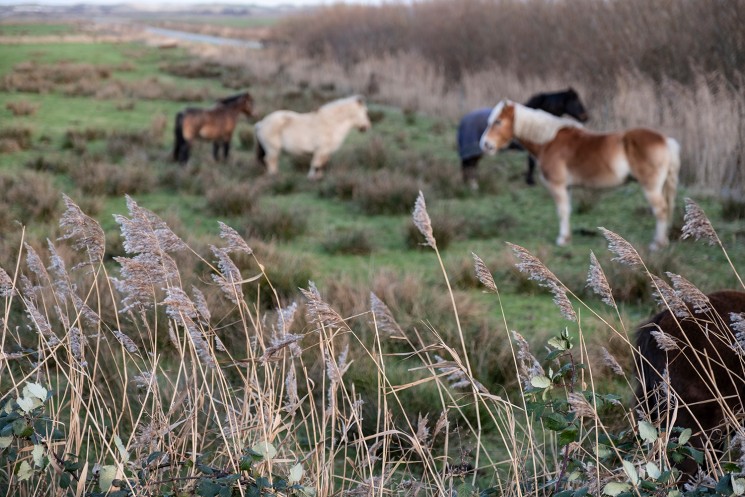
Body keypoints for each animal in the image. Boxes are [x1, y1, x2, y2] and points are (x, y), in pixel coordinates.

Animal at [456, 86, 588, 189]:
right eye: (576, 101)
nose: (586, 117)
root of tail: (463, 121)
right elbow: (531, 163)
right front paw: (530, 181)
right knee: (470, 167)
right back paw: (473, 186)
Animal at [476, 99, 680, 250]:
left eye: (498, 122)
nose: (485, 145)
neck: (548, 140)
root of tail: (665, 140)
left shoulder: (558, 186)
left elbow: (562, 211)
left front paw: (562, 240)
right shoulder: (567, 187)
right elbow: (567, 210)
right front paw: (566, 238)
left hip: (651, 188)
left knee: (661, 210)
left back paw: (657, 244)